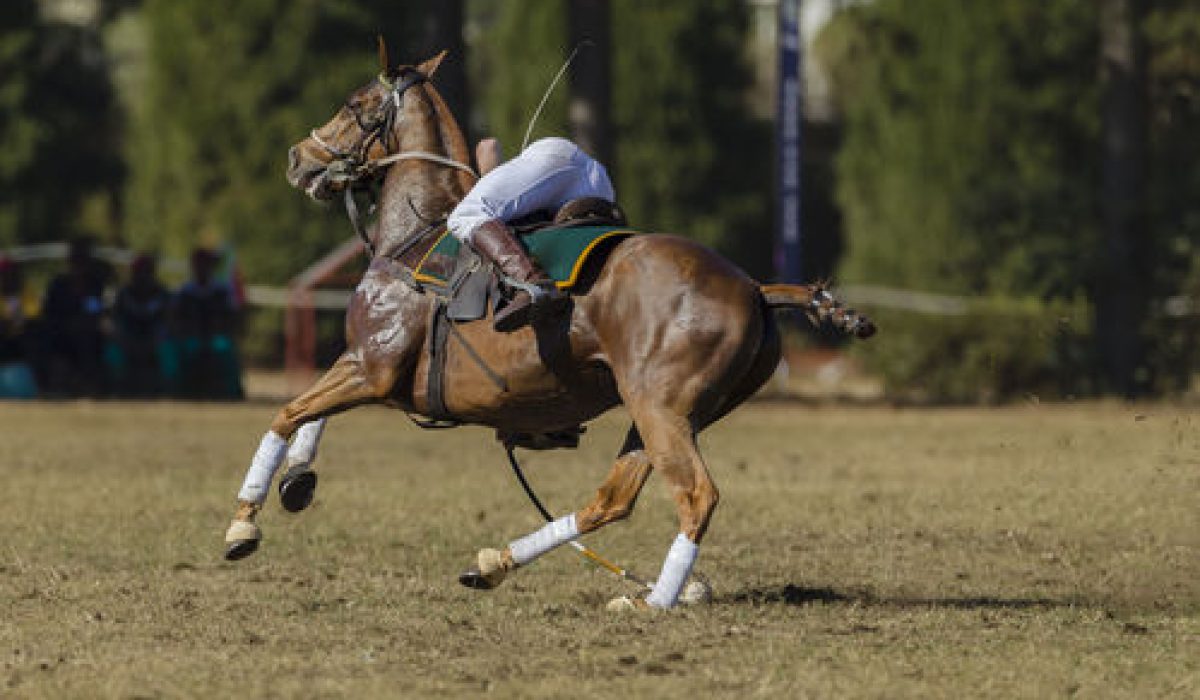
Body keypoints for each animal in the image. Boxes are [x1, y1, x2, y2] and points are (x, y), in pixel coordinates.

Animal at [222, 44, 875, 610]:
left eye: (355, 103)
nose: (297, 158)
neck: (415, 231)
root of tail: (754, 289)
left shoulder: (375, 368)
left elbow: (288, 412)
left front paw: (243, 524)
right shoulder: (368, 367)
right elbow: (311, 414)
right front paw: (298, 480)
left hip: (660, 404)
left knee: (694, 495)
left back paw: (656, 602)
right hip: (670, 411)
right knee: (611, 499)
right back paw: (499, 564)